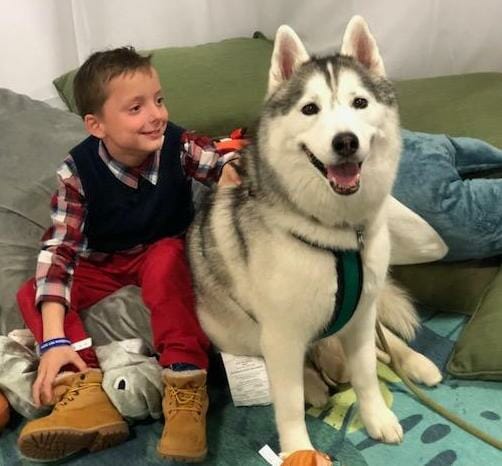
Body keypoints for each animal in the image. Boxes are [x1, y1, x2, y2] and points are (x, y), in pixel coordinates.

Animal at [188, 15, 440, 456]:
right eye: (310, 109)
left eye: (360, 103)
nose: (346, 141)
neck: (338, 236)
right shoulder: (282, 335)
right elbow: (287, 403)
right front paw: (298, 450)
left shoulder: (361, 317)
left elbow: (367, 372)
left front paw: (376, 417)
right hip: (237, 334)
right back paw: (313, 383)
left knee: (385, 343)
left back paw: (415, 363)